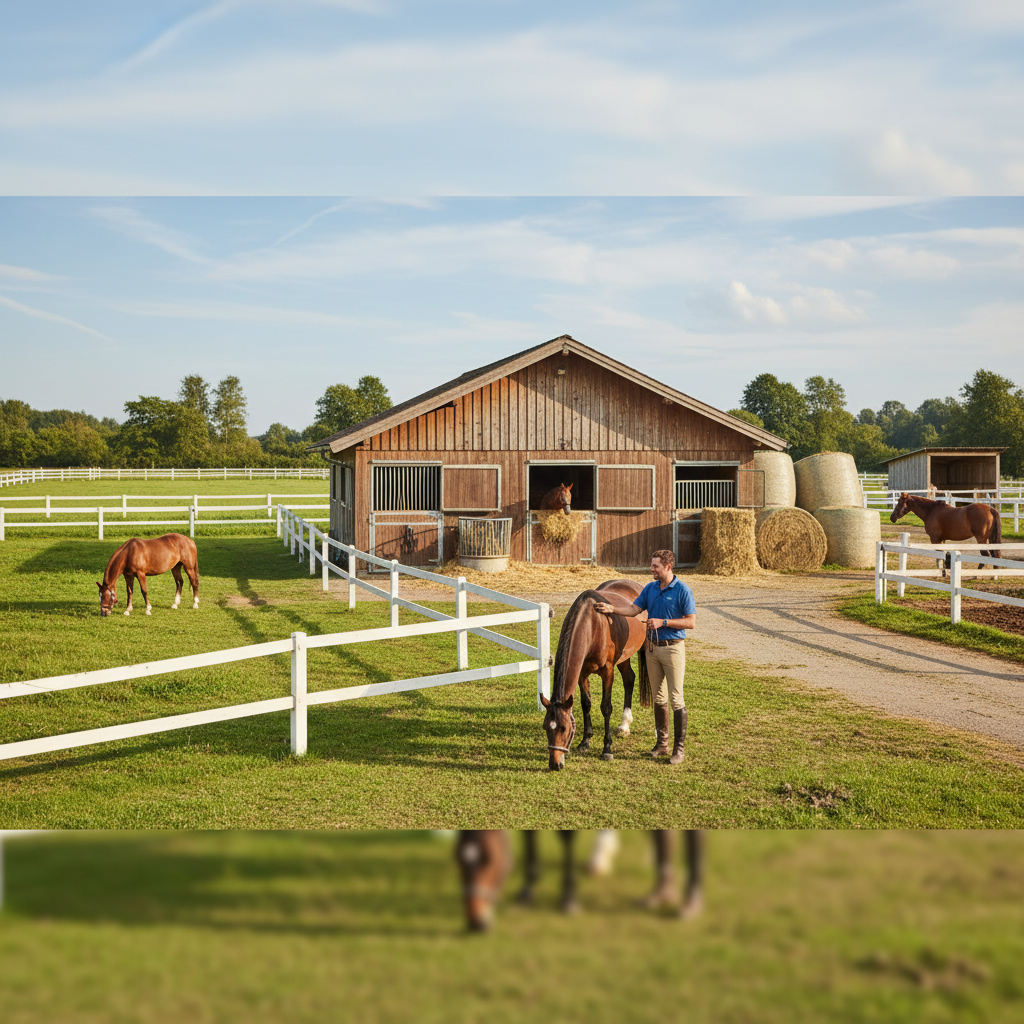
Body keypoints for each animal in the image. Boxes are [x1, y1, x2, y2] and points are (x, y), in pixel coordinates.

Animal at [455, 830, 705, 932]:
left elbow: (567, 836)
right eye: (457, 858)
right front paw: (527, 890)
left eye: (488, 861)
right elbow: (529, 834)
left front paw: (569, 898)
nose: (476, 922)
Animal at [540, 579, 650, 770]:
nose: (555, 764)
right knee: (629, 679)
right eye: (546, 727)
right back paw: (624, 725)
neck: (593, 625)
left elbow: (606, 707)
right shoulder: (582, 673)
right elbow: (586, 704)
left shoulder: (607, 671)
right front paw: (585, 742)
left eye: (564, 729)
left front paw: (607, 749)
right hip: (624, 658)